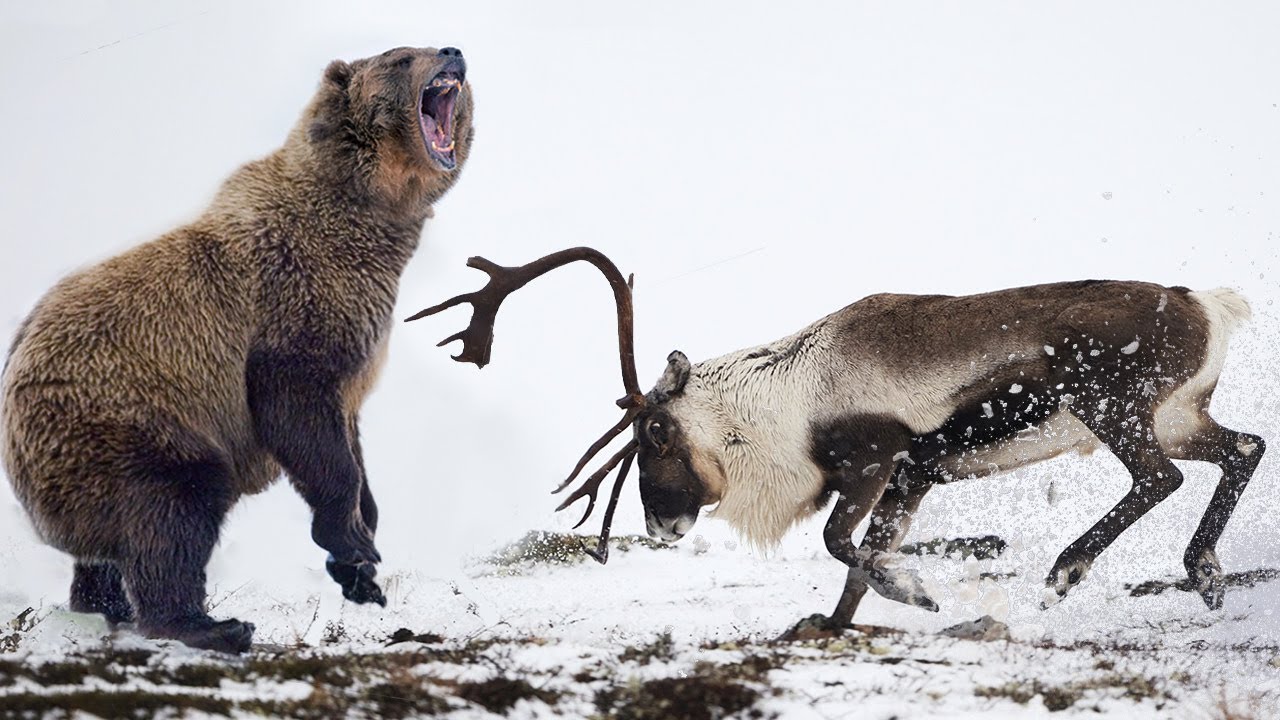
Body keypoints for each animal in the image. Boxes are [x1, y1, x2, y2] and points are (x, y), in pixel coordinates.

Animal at [0, 44, 476, 650]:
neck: (364, 217)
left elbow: (351, 437)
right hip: (123, 423)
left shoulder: (357, 342)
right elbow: (301, 415)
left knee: (108, 552)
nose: (452, 52)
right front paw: (350, 544)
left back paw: (110, 605)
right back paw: (210, 624)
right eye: (400, 57)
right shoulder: (294, 302)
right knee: (174, 510)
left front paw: (363, 563)